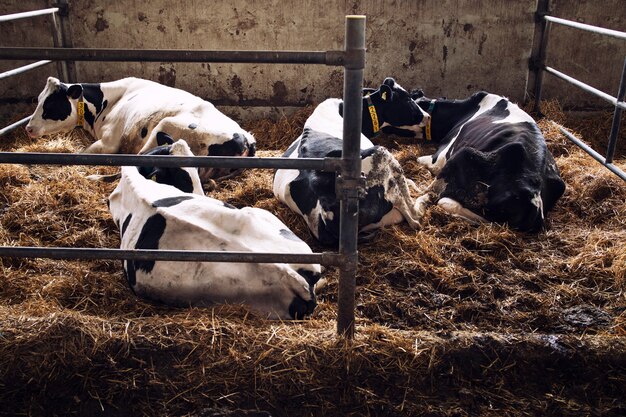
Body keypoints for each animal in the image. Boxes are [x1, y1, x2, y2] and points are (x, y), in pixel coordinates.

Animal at [24, 76, 254, 182]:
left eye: (51, 105)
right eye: (39, 99)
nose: (28, 128)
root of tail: (245, 139)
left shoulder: (108, 144)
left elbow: (79, 156)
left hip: (163, 128)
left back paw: (94, 178)